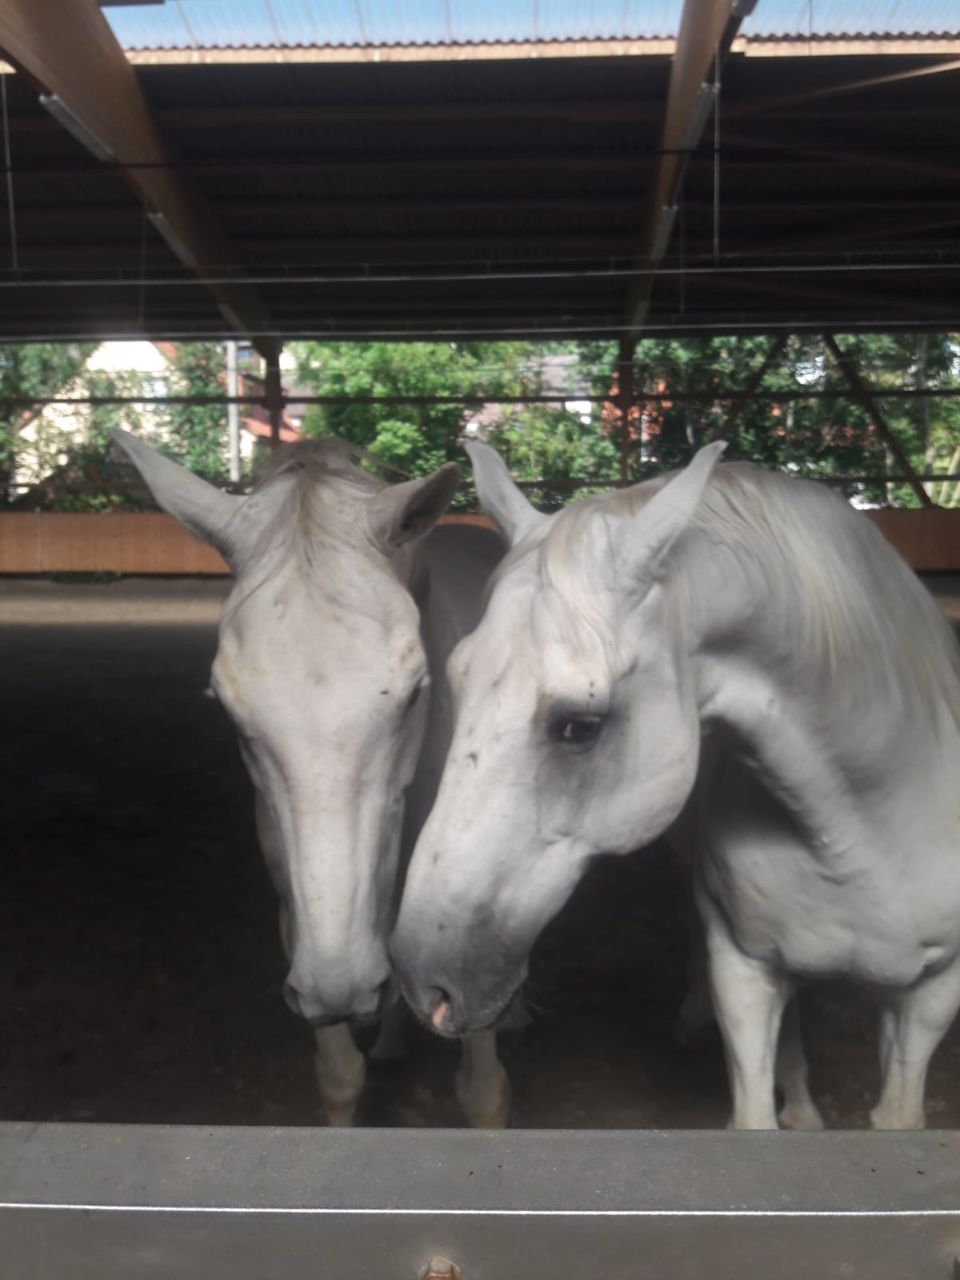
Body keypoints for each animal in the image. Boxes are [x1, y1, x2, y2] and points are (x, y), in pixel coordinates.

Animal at [113, 430, 509, 1128]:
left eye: (415, 692)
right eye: (227, 707)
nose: (342, 987)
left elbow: (482, 1092)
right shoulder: (299, 923)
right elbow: (339, 1078)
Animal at [392, 440, 960, 1130]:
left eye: (579, 726)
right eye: (456, 677)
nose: (423, 979)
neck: (860, 822)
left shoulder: (930, 997)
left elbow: (899, 1114)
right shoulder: (746, 969)